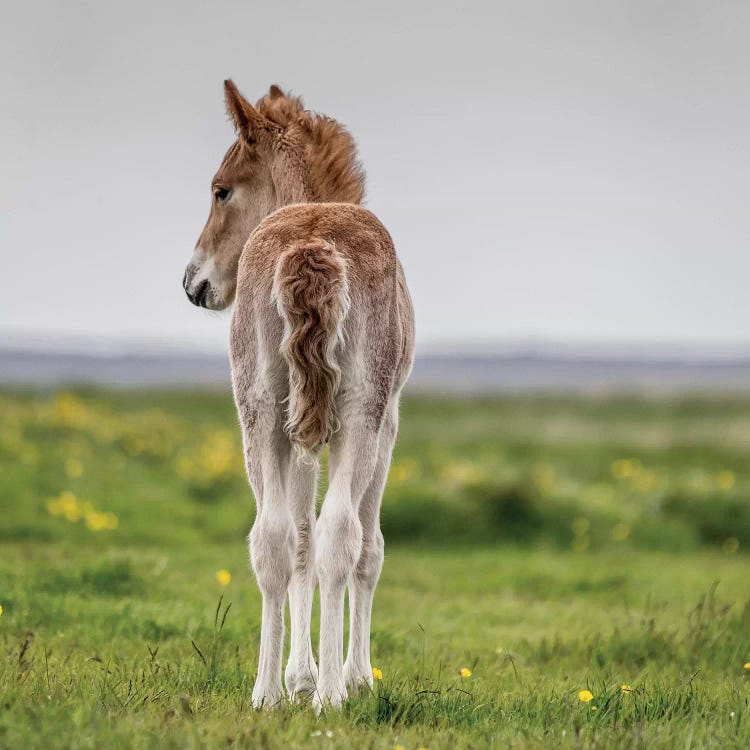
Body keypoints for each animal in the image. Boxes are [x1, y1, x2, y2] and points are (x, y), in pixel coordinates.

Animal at [184, 79, 418, 712]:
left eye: (221, 190)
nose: (194, 283)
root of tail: (311, 241)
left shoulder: (301, 425)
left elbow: (299, 545)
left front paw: (299, 676)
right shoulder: (385, 422)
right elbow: (363, 547)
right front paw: (349, 678)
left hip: (261, 410)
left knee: (272, 539)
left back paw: (266, 693)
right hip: (359, 415)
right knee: (341, 534)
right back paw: (334, 694)